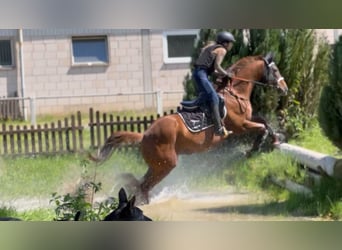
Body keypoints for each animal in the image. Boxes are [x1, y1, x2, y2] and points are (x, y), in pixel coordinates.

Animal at [91, 51, 288, 204]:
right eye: (275, 70)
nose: (285, 88)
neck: (235, 92)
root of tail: (144, 134)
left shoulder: (248, 119)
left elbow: (265, 122)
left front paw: (276, 138)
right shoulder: (240, 125)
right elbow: (262, 127)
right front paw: (253, 149)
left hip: (157, 164)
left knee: (141, 183)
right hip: (167, 163)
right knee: (144, 185)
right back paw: (143, 203)